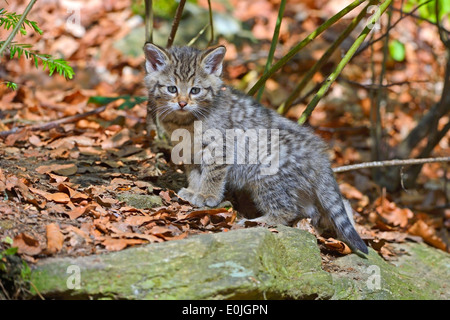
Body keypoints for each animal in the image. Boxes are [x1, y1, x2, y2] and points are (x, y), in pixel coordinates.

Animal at [144, 42, 370, 254]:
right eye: (172, 89)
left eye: (195, 90)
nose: (182, 103)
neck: (186, 121)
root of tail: (319, 154)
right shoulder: (190, 150)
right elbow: (194, 172)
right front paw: (193, 190)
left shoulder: (221, 146)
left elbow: (213, 174)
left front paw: (208, 196)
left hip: (267, 175)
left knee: (287, 209)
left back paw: (257, 221)